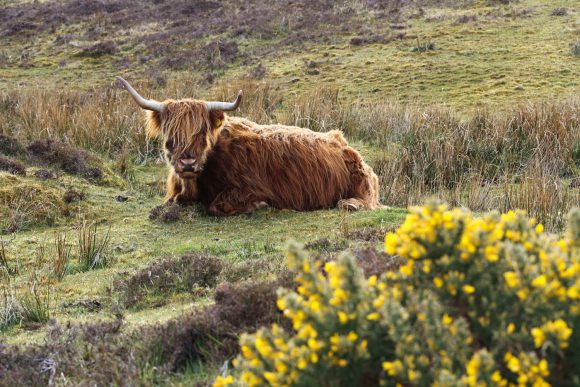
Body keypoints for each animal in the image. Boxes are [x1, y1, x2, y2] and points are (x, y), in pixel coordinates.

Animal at [115, 77, 382, 217]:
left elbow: (217, 206)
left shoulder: (251, 186)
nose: (187, 163)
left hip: (361, 185)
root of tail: (344, 143)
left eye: (201, 133)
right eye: (170, 136)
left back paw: (350, 203)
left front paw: (258, 205)